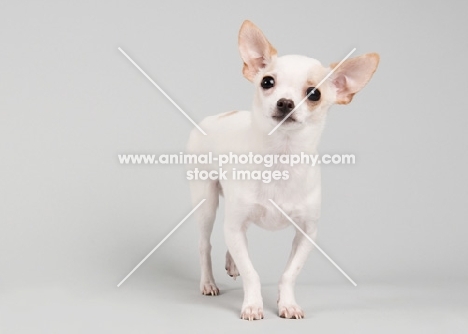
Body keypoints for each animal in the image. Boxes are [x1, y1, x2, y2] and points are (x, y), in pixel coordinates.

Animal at [185, 19, 378, 320]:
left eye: (314, 94)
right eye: (267, 82)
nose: (285, 102)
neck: (280, 158)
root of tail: (215, 117)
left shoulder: (307, 233)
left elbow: (289, 273)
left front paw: (287, 303)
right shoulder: (235, 221)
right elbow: (252, 273)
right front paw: (253, 305)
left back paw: (231, 263)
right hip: (206, 200)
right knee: (206, 244)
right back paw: (208, 282)